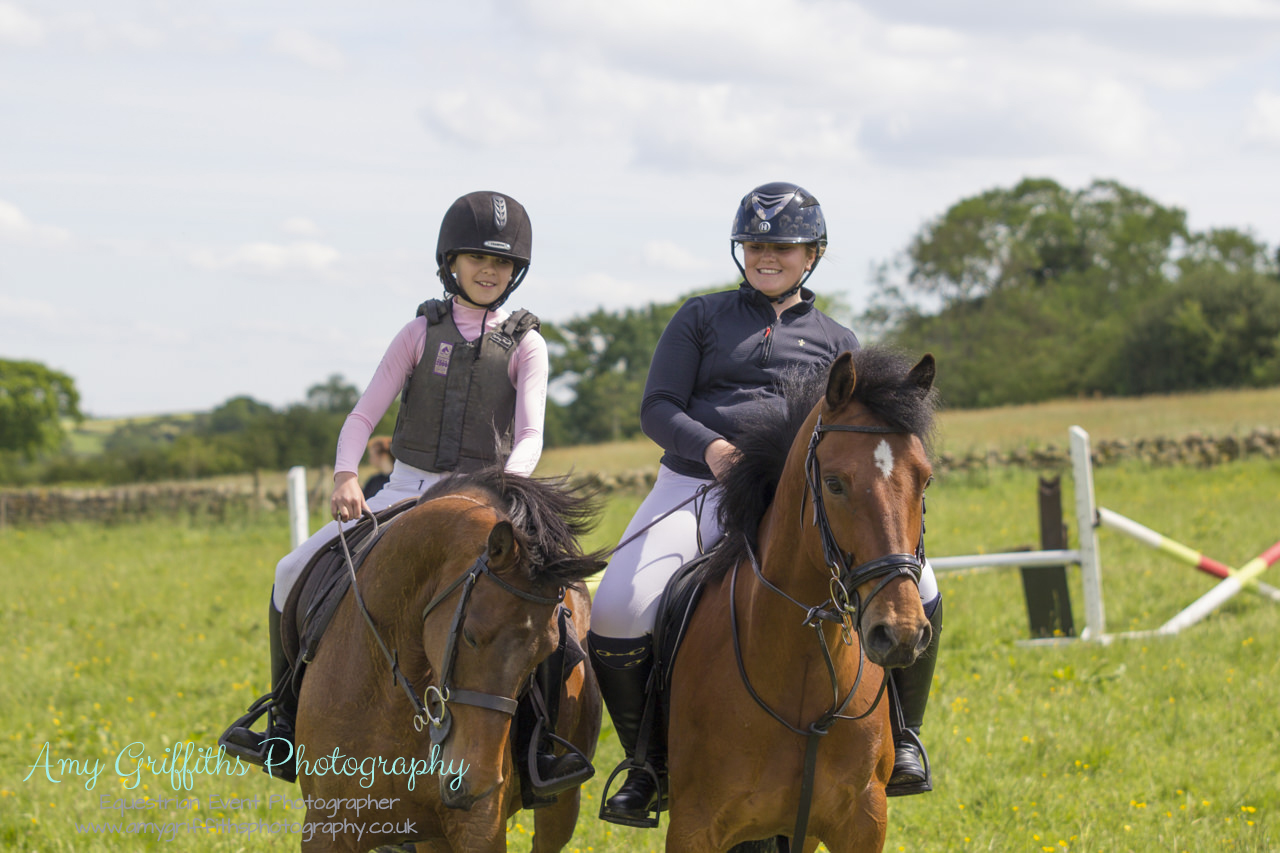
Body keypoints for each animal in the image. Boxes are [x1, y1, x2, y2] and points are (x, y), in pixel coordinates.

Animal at [294, 468, 604, 845]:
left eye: (546, 652)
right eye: (470, 635)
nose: (473, 781)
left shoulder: (478, 829)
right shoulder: (326, 825)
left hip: (561, 805)